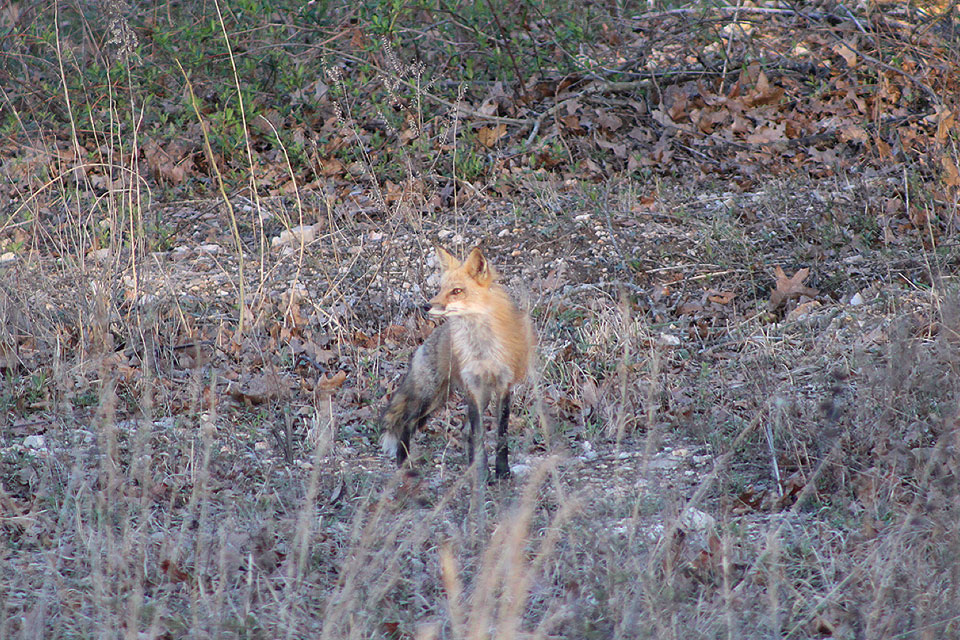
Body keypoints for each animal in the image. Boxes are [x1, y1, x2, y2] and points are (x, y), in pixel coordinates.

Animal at [380, 245, 532, 480]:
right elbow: (479, 434)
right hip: (430, 396)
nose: (426, 306)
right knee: (406, 422)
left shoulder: (504, 386)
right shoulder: (473, 387)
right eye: (441, 289)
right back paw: (403, 465)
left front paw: (501, 471)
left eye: (457, 291)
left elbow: (501, 434)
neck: (482, 349)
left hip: (452, 397)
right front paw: (483, 474)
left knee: (463, 431)